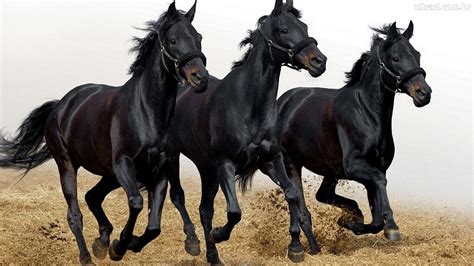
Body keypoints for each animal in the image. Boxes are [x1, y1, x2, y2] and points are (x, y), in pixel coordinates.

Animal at [0, 2, 207, 264]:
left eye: (199, 38)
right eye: (172, 40)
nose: (201, 78)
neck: (147, 112)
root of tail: (61, 105)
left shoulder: (160, 168)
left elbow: (154, 226)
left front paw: (129, 243)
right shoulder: (124, 164)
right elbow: (137, 203)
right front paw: (120, 246)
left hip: (108, 173)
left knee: (92, 196)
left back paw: (102, 241)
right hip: (68, 164)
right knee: (75, 213)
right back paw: (87, 255)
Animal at [167, 0, 326, 262]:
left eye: (304, 26)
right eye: (284, 29)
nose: (319, 62)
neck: (249, 106)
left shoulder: (272, 159)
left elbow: (292, 193)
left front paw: (296, 247)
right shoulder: (225, 164)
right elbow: (234, 211)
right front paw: (219, 234)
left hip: (207, 168)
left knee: (205, 209)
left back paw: (212, 256)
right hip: (173, 156)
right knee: (179, 196)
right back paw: (193, 242)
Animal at [274, 22, 434, 242]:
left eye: (417, 55)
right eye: (396, 58)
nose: (424, 93)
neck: (367, 113)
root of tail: (282, 102)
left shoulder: (374, 168)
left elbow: (376, 219)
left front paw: (350, 222)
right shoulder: (355, 166)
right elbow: (380, 183)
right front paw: (392, 227)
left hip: (330, 170)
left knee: (322, 195)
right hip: (291, 162)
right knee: (299, 202)